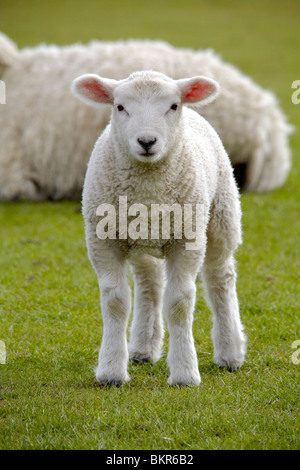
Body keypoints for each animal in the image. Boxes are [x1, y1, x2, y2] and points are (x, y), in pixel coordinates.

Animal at [71, 70, 247, 386]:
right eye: (119, 107)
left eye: (173, 106)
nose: (146, 141)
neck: (148, 187)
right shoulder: (103, 239)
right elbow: (115, 301)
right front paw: (111, 370)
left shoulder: (187, 239)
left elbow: (179, 303)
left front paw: (185, 372)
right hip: (142, 238)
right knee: (149, 284)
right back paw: (143, 348)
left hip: (221, 214)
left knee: (220, 278)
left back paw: (230, 353)